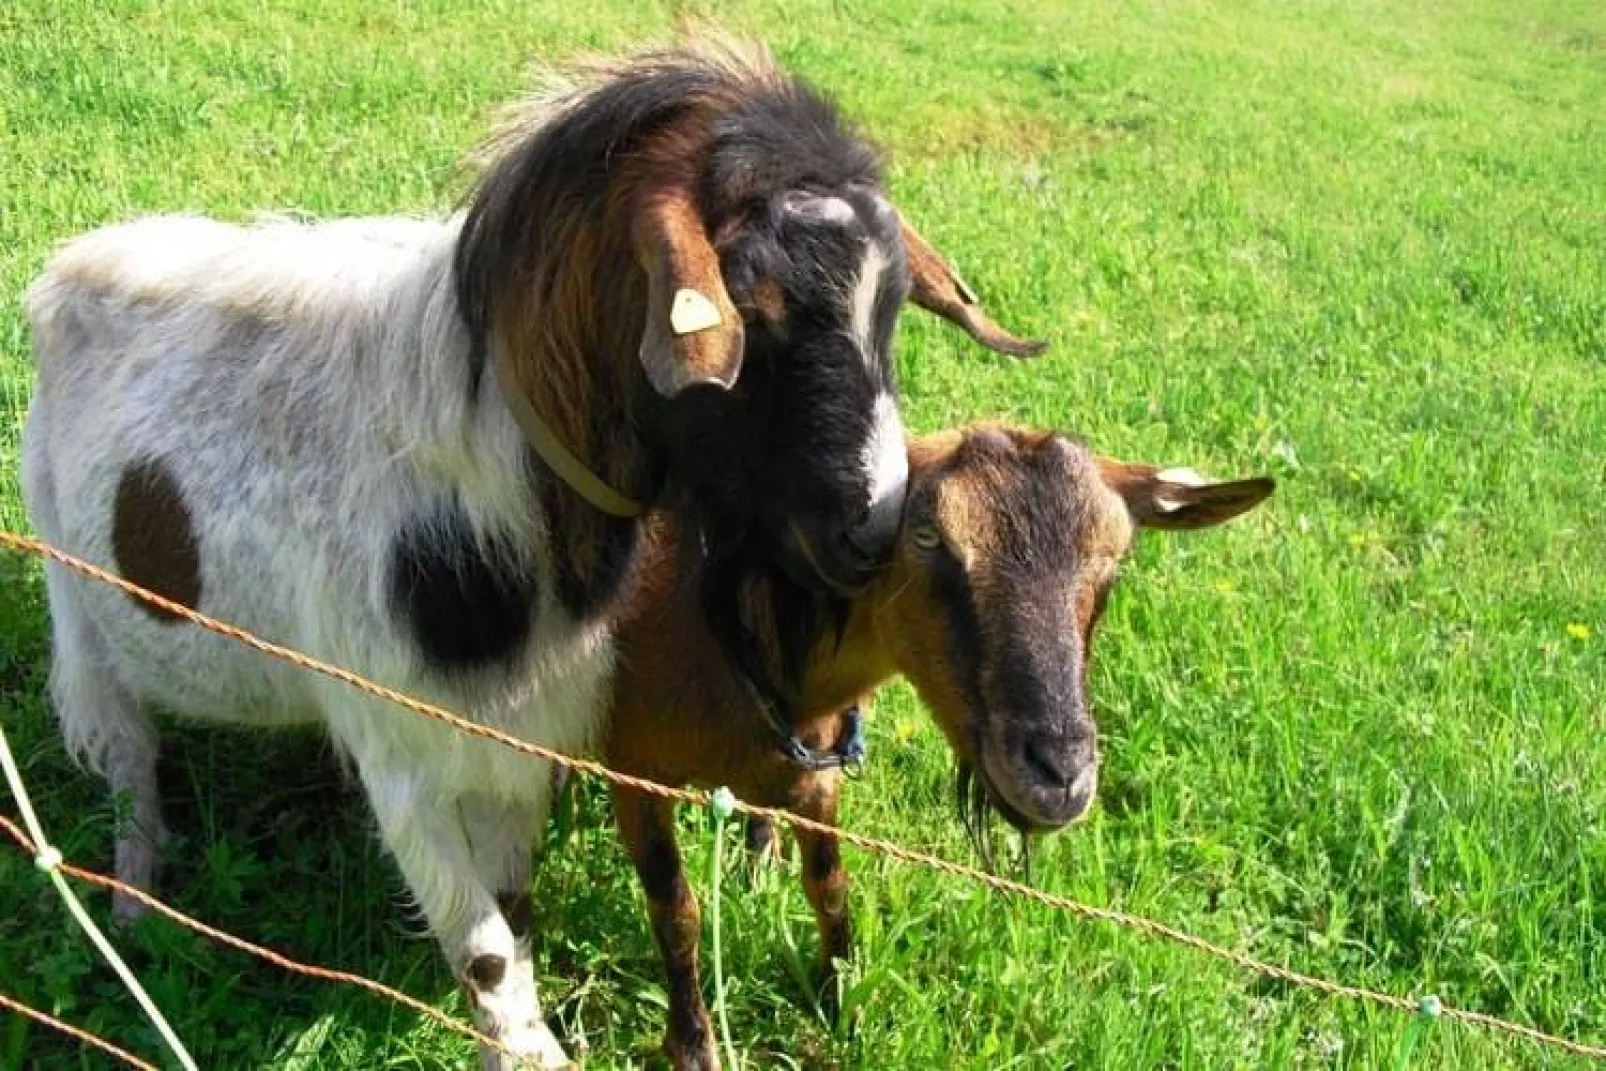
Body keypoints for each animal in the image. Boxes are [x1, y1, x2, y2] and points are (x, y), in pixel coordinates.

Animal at [603, 423, 1278, 1066]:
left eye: (1115, 557)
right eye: (928, 537)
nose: (1060, 775)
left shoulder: (818, 770)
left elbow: (830, 887)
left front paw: (840, 1004)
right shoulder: (632, 771)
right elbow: (677, 913)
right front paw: (694, 1046)